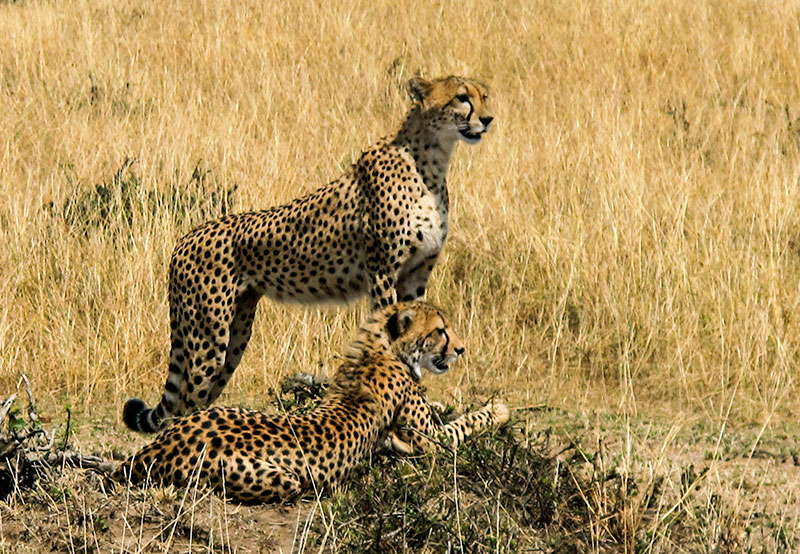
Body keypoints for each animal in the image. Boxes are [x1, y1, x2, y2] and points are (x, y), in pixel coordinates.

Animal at [114, 300, 506, 502]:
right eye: (440, 330)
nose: (461, 349)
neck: (380, 347)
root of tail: (162, 446)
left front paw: (444, 405)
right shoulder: (429, 443)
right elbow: (463, 425)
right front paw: (497, 410)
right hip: (281, 478)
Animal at [125, 74, 494, 432]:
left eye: (484, 96)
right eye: (462, 97)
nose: (488, 119)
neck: (432, 159)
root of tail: (184, 239)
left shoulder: (415, 275)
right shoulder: (383, 272)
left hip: (235, 335)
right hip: (208, 335)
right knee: (182, 405)